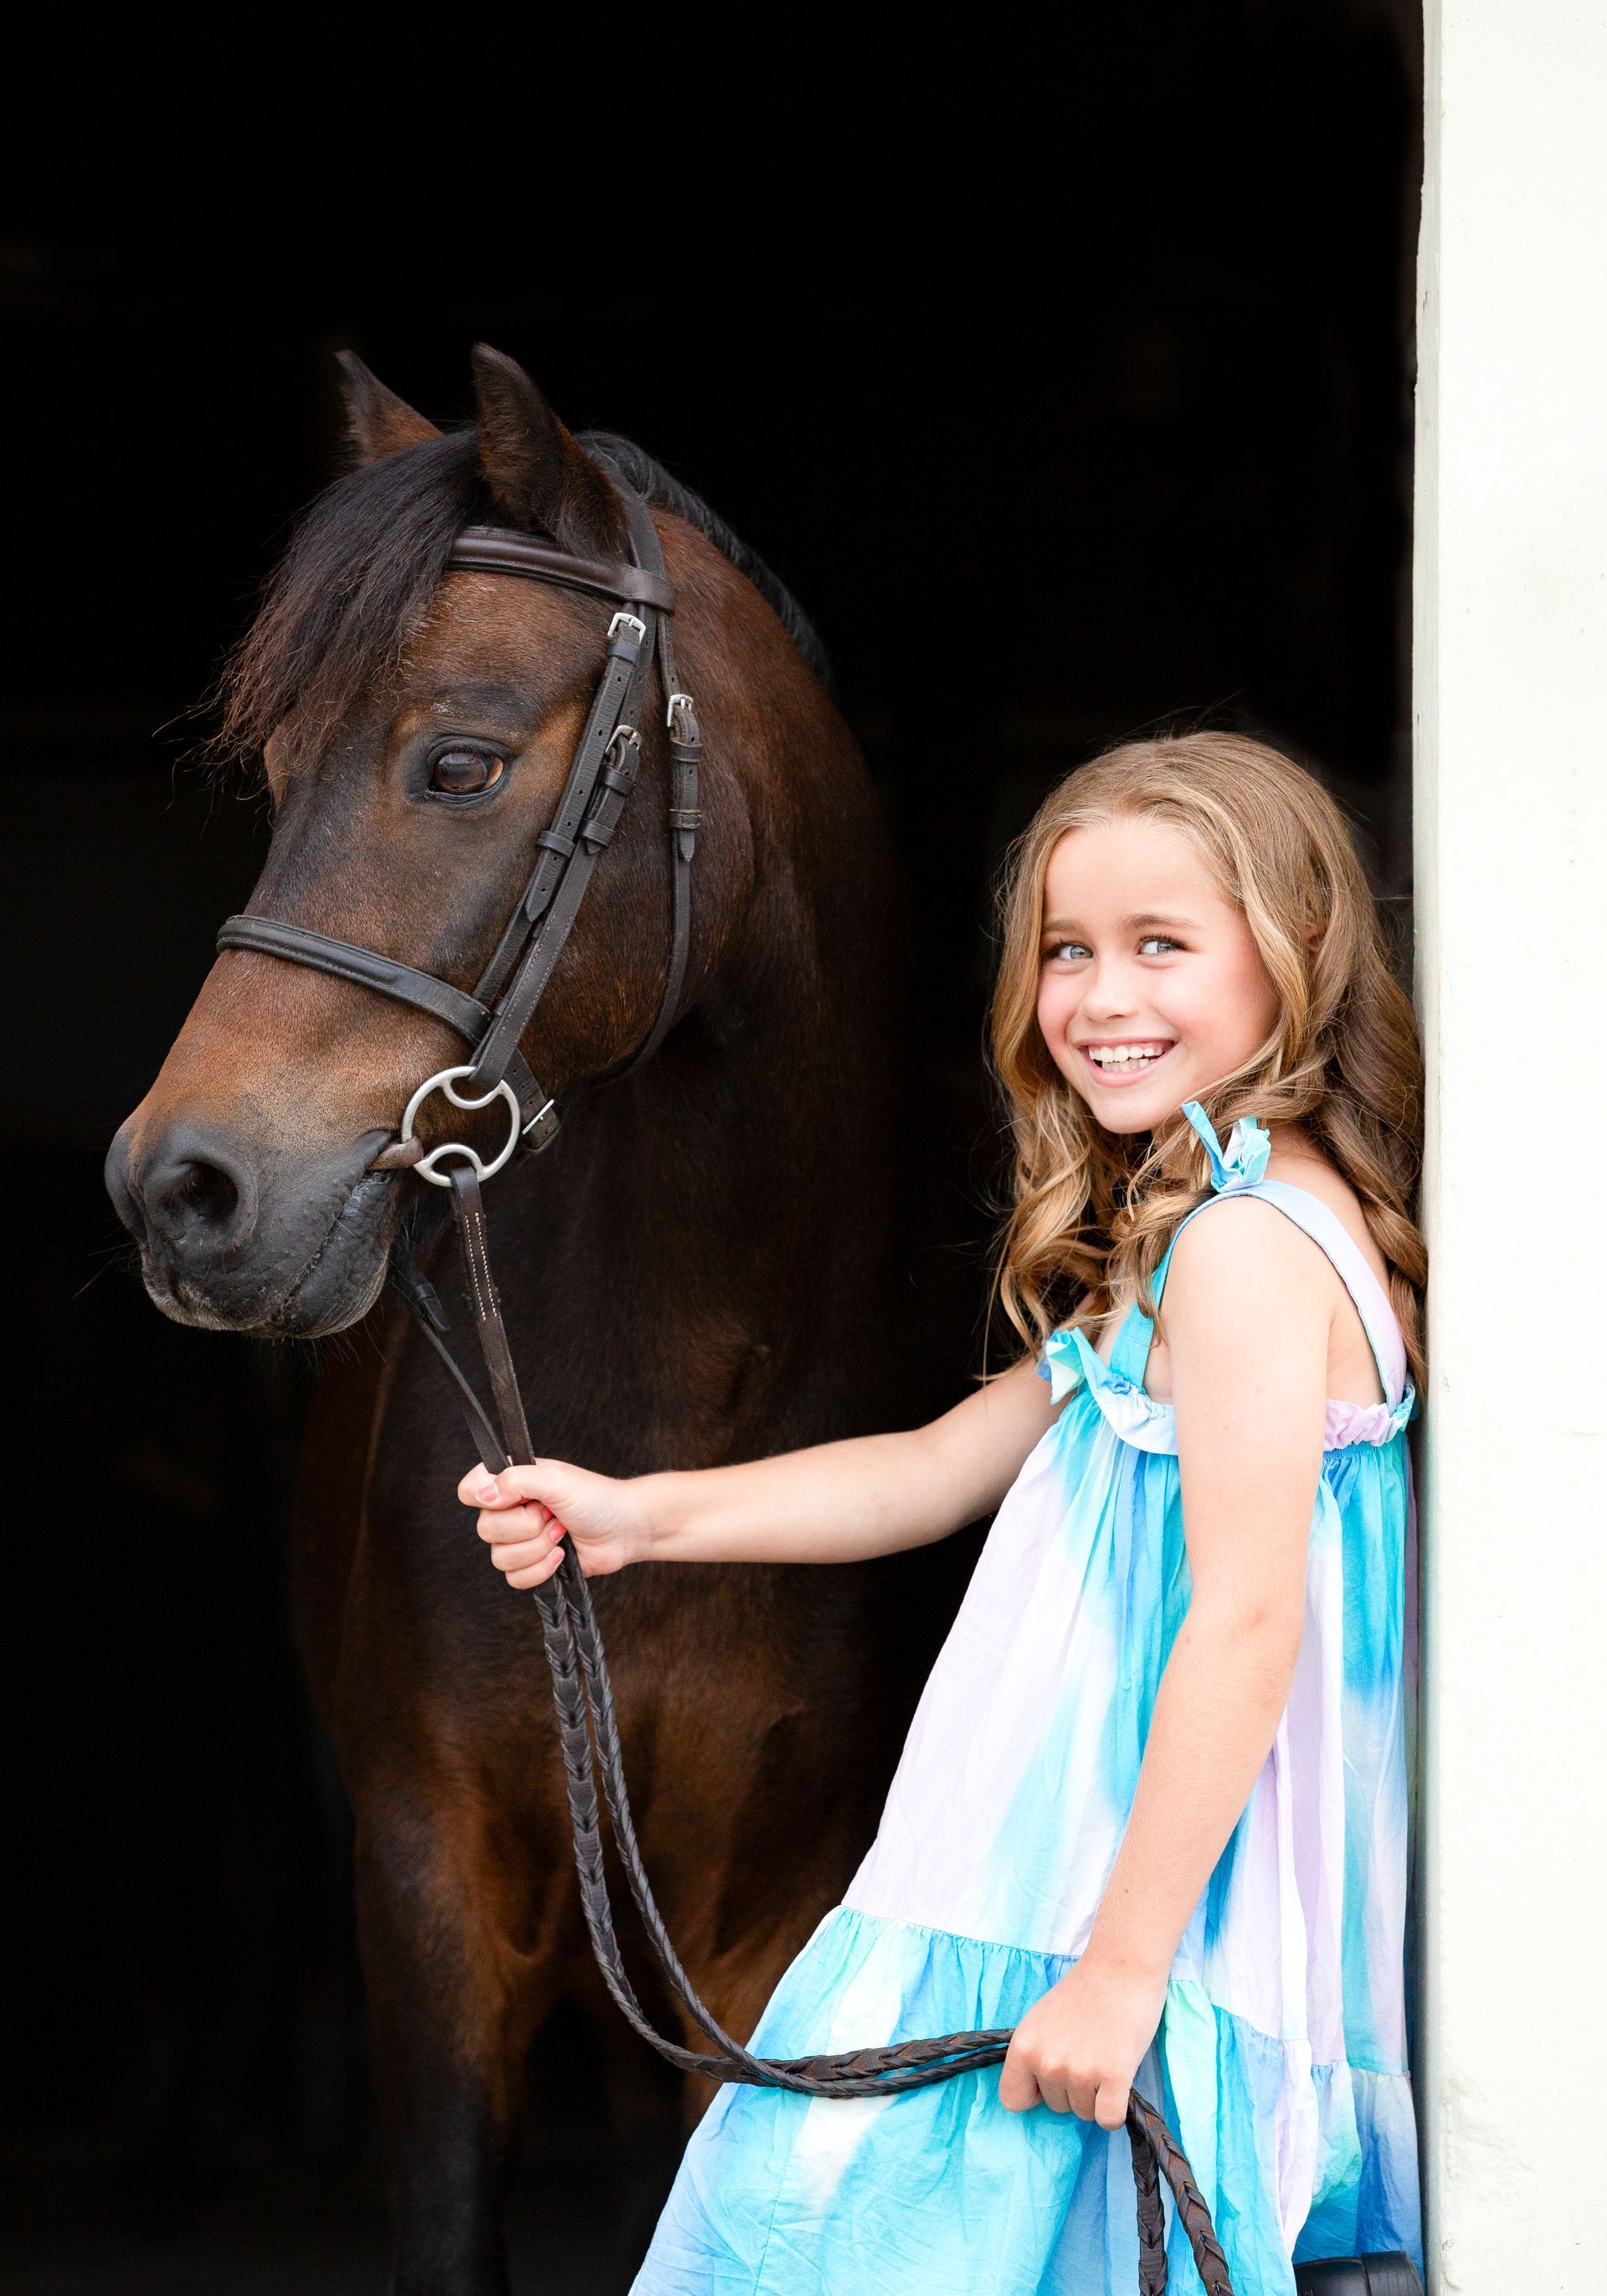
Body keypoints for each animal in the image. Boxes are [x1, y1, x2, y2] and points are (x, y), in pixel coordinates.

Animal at [106, 346, 949, 2293]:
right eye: (278, 772)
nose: (177, 1190)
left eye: (460, 762)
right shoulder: (433, 1898)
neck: (686, 1414)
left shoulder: (760, 1934)